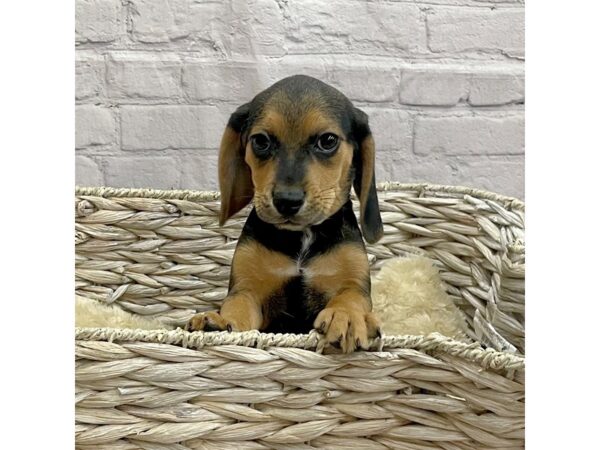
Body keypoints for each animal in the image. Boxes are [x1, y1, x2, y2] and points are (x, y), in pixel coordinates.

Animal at [188, 74, 384, 352]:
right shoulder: (248, 290)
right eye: (261, 141)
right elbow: (238, 307)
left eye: (328, 141)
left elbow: (350, 297)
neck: (300, 237)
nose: (287, 201)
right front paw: (220, 321)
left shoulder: (354, 284)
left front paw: (345, 316)